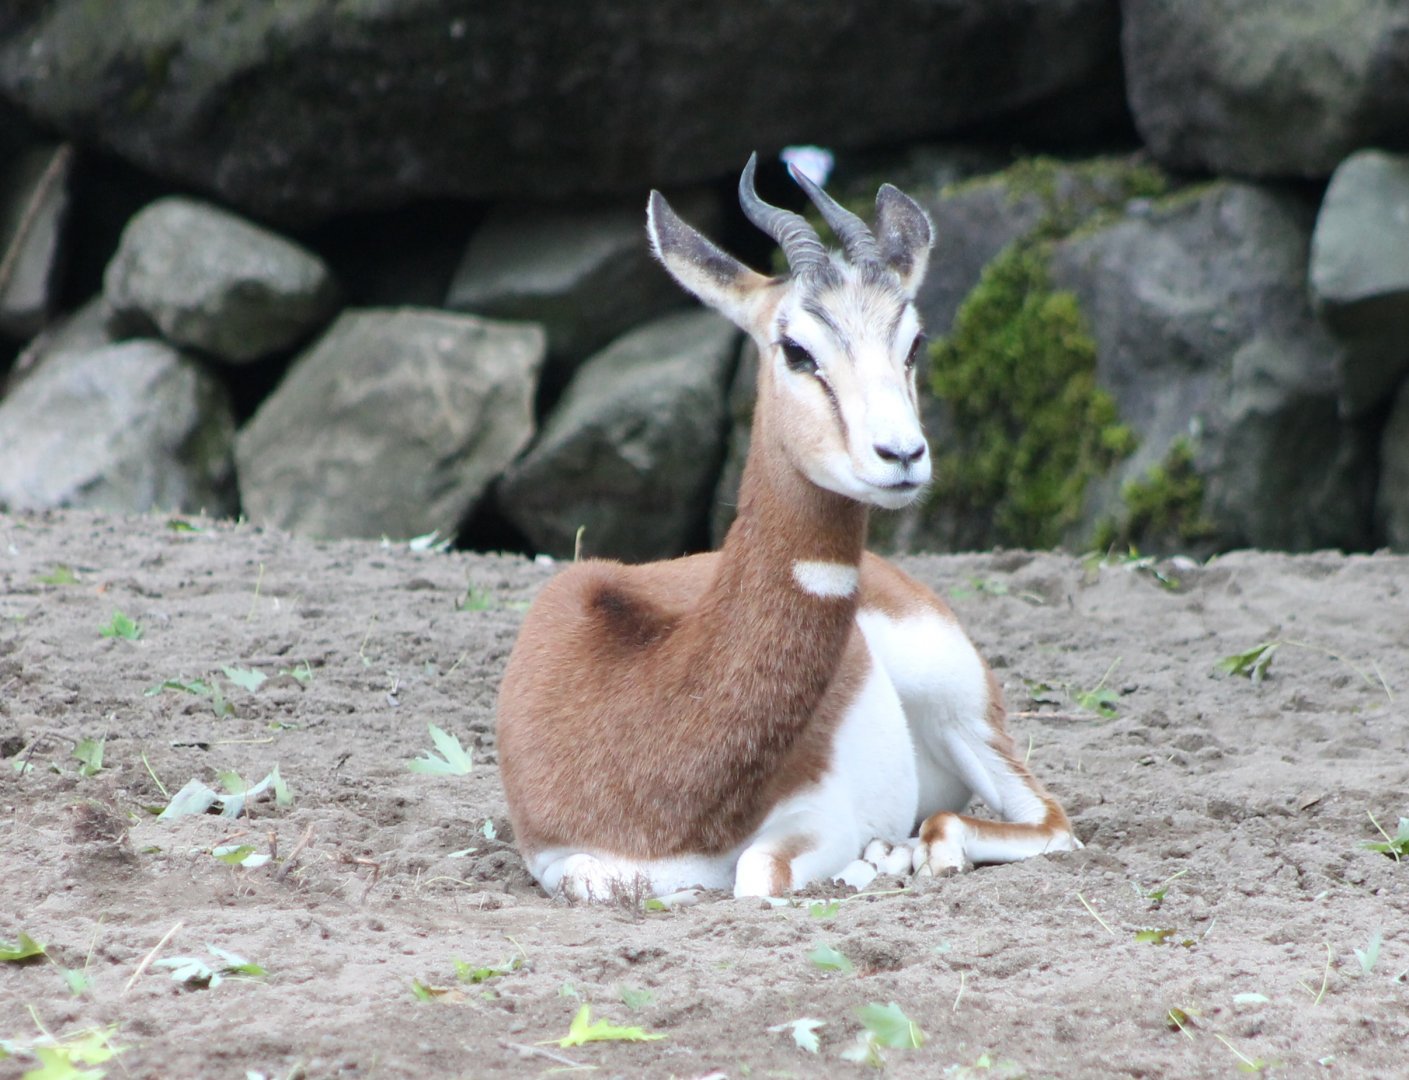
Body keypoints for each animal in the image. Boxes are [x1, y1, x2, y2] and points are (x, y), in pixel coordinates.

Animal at [495, 155, 1081, 901]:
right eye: (797, 349)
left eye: (912, 342)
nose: (901, 455)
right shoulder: (553, 855)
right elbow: (595, 879)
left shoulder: (818, 817)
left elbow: (758, 870)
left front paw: (869, 860)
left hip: (956, 703)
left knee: (1042, 823)